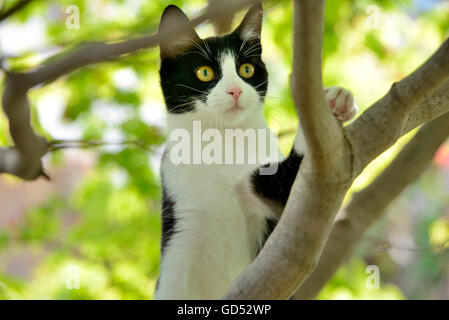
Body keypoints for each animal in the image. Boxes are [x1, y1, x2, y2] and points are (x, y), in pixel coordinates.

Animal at [154, 3, 356, 300]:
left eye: (246, 69)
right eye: (205, 72)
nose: (235, 90)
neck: (224, 146)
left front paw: (331, 104)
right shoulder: (181, 218)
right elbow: (172, 279)